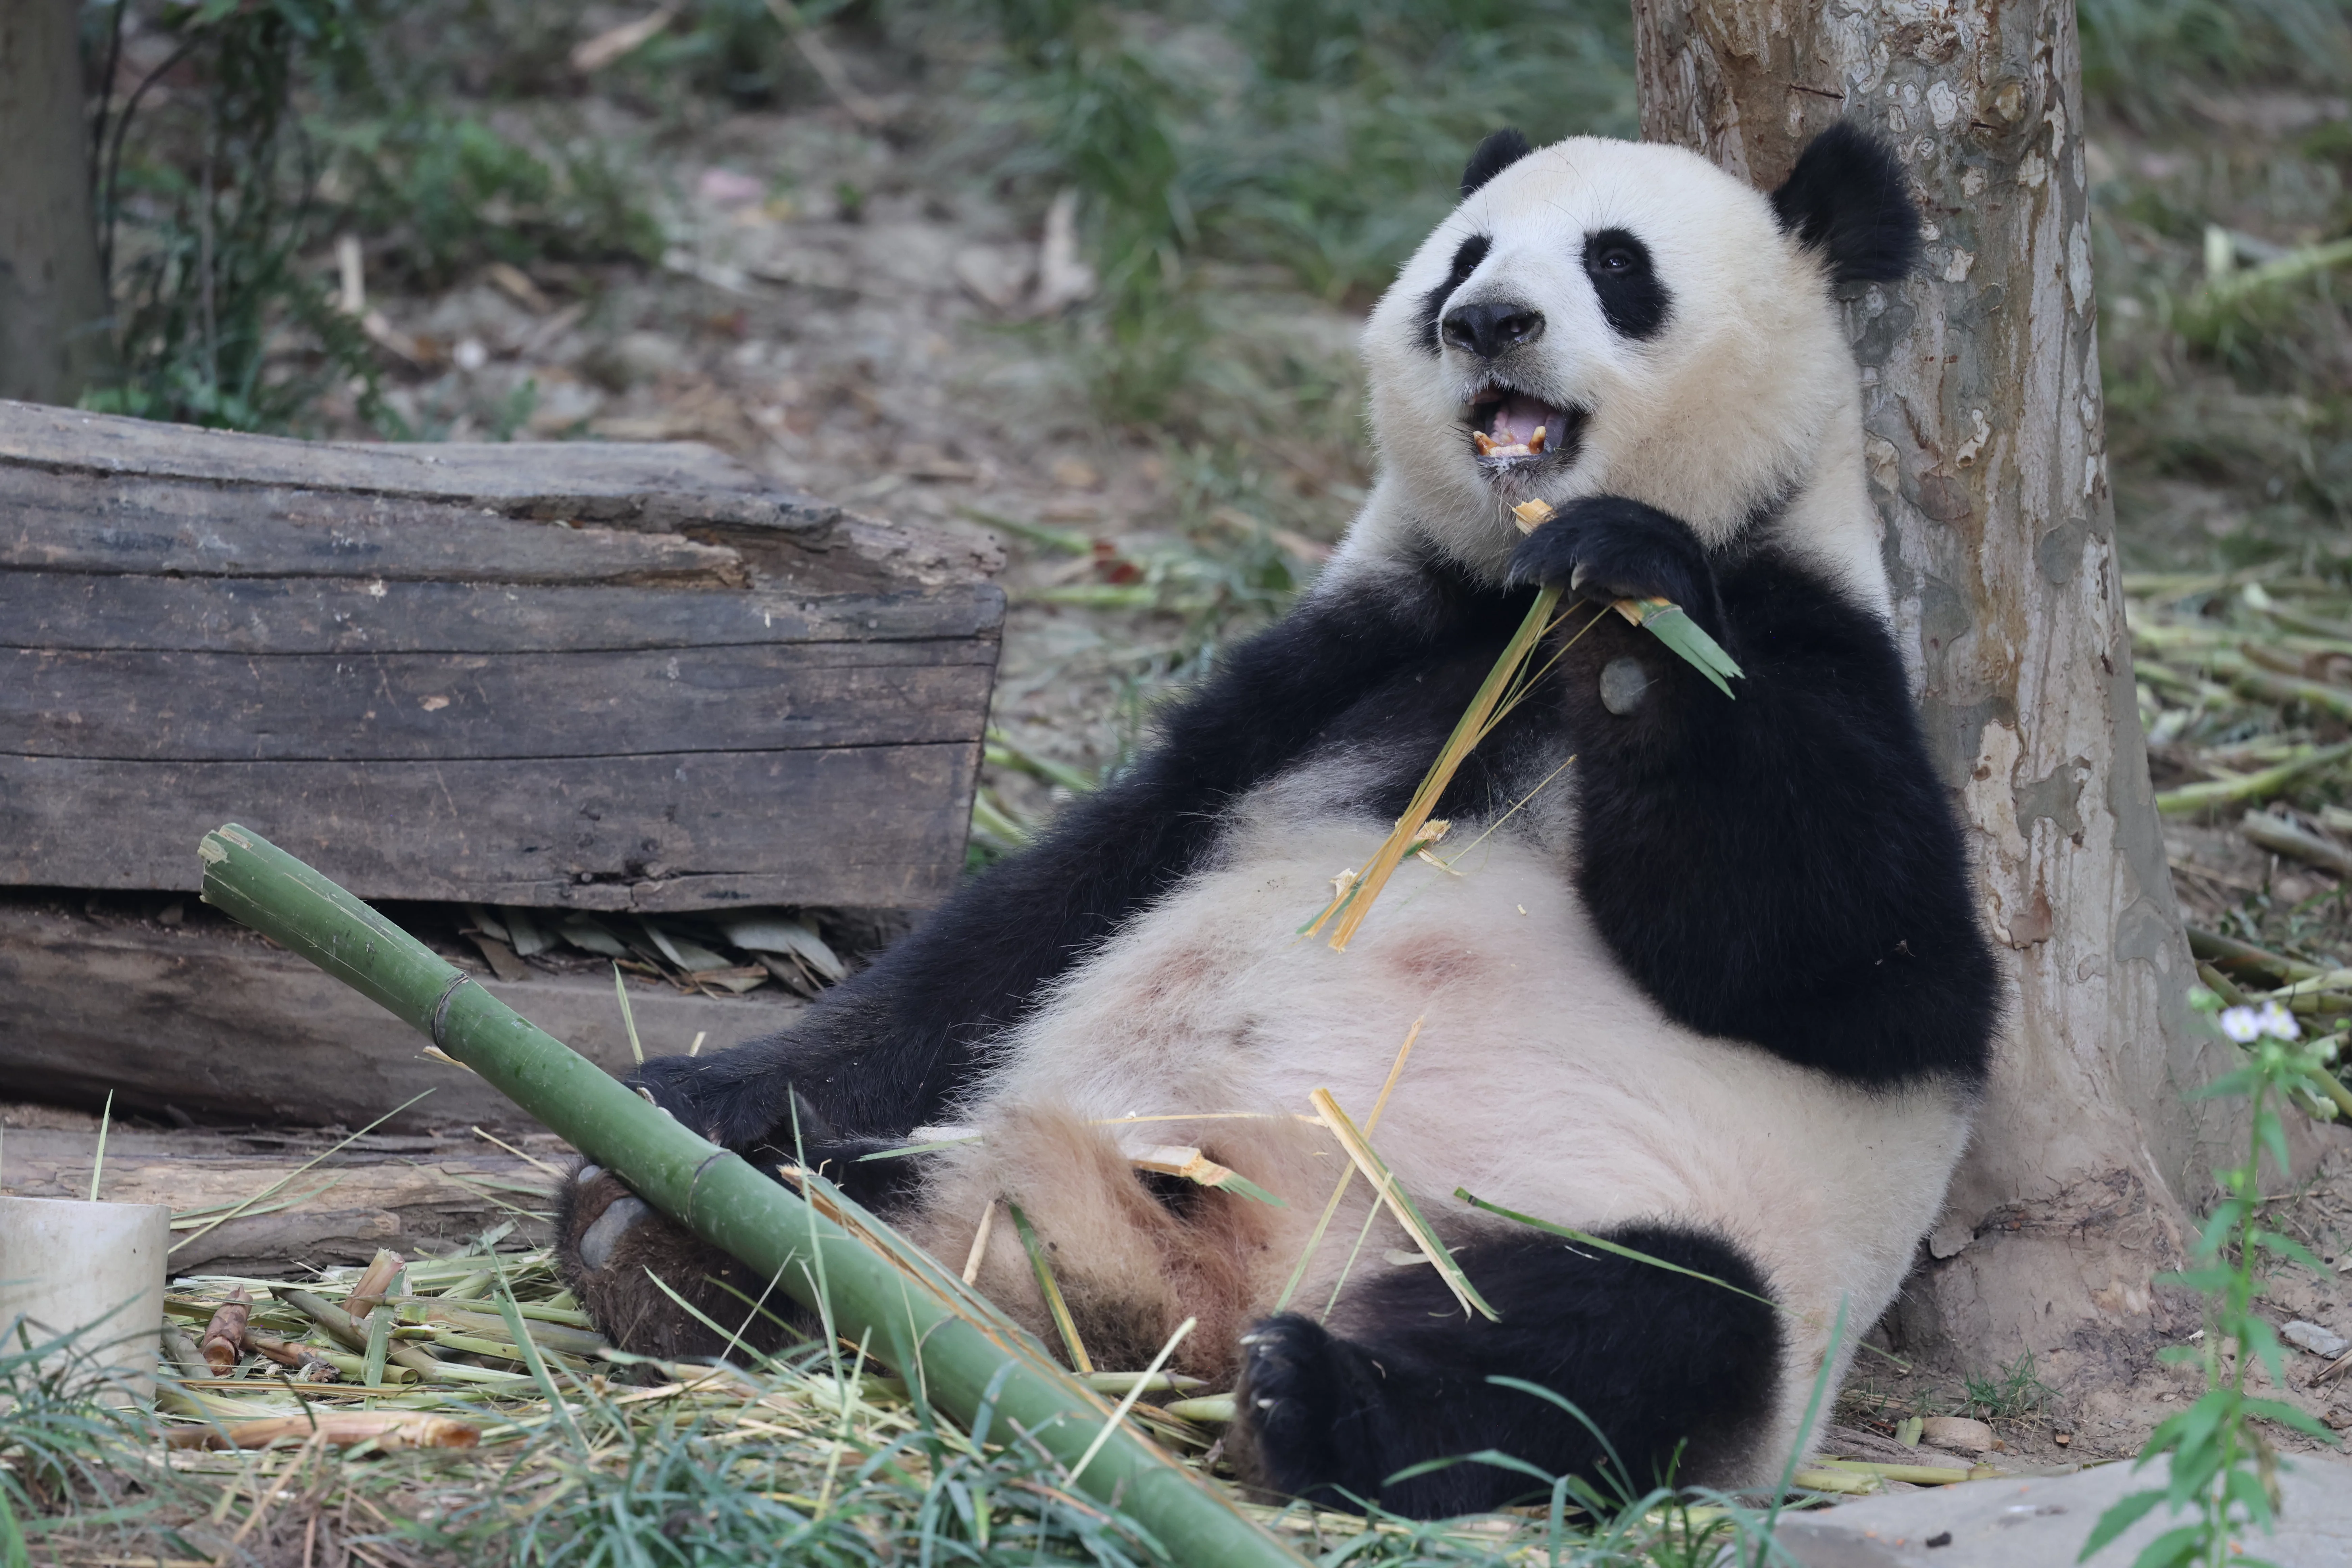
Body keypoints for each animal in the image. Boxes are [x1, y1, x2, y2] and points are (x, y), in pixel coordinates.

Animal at [556, 121, 1998, 1519]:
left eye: (1615, 264)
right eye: (1464, 256)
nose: (1486, 321)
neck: (1511, 601)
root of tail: (1199, 1291)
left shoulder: (1820, 643)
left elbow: (1867, 973)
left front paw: (1627, 593)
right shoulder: (1350, 659)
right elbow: (1052, 901)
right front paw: (693, 1091)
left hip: (1581, 1227)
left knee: (1637, 1328)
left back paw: (1320, 1398)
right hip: (1035, 1149)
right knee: (893, 1172)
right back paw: (676, 1229)